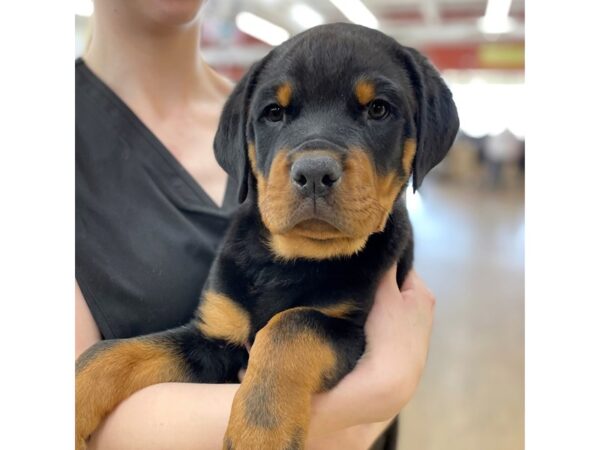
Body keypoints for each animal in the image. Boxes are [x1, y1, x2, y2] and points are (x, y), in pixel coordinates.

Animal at [76, 23, 460, 450]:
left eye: (378, 109)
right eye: (274, 113)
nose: (314, 172)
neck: (289, 260)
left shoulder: (349, 329)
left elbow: (289, 326)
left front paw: (260, 433)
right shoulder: (212, 336)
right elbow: (114, 353)